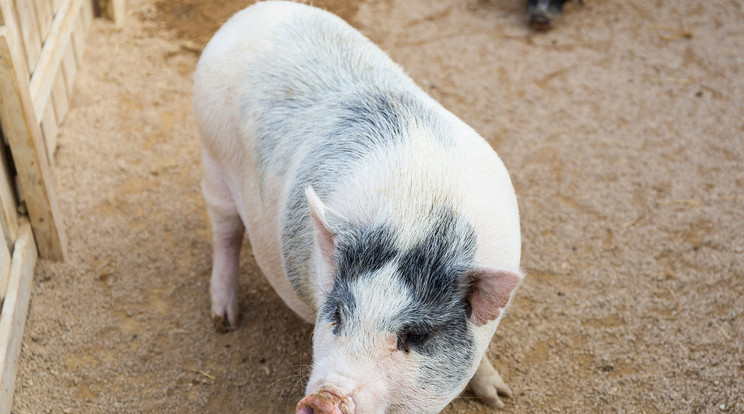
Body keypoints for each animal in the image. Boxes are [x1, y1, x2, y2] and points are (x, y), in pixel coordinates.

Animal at [195, 1, 528, 412]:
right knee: (225, 233)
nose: (325, 399)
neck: (418, 218)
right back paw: (224, 321)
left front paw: (500, 397)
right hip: (212, 158)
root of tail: (253, 13)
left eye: (414, 336)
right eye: (337, 315)